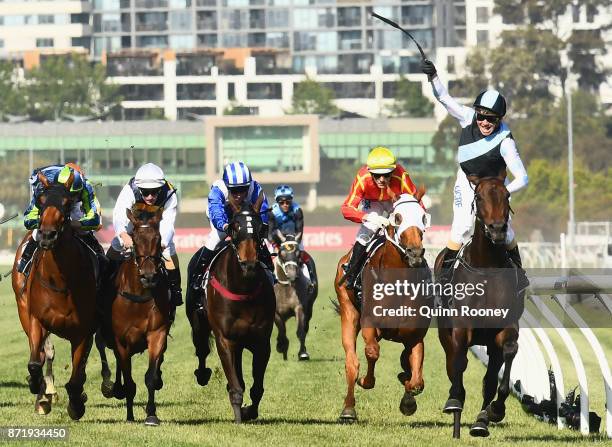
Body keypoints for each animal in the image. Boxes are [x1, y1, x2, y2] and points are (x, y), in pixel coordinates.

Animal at [11, 173, 95, 422]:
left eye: (67, 203)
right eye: (40, 201)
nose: (47, 235)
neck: (61, 282)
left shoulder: (83, 331)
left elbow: (77, 377)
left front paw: (76, 404)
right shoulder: (37, 321)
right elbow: (34, 363)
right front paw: (39, 390)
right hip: (23, 310)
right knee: (41, 355)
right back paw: (43, 394)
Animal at [109, 208, 171, 426]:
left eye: (158, 238)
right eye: (134, 239)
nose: (149, 276)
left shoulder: (157, 333)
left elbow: (150, 376)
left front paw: (151, 414)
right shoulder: (121, 341)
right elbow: (128, 380)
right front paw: (129, 415)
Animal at [186, 198, 272, 426]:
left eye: (261, 228)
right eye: (234, 227)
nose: (249, 263)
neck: (243, 289)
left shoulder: (261, 342)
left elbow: (257, 388)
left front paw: (249, 411)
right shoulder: (225, 340)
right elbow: (236, 386)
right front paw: (239, 415)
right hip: (198, 324)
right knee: (202, 350)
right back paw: (202, 374)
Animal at [334, 190, 430, 424]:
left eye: (423, 217)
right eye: (397, 218)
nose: (415, 253)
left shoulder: (415, 336)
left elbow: (416, 380)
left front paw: (408, 399)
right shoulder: (370, 324)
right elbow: (372, 352)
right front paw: (365, 381)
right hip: (348, 311)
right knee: (352, 362)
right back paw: (348, 409)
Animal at [436, 173, 520, 440]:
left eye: (507, 195)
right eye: (479, 197)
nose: (497, 229)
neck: (487, 268)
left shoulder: (506, 328)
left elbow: (503, 364)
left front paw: (494, 412)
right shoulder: (462, 327)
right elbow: (459, 364)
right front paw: (454, 401)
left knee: (489, 378)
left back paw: (481, 421)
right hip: (444, 333)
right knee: (453, 363)